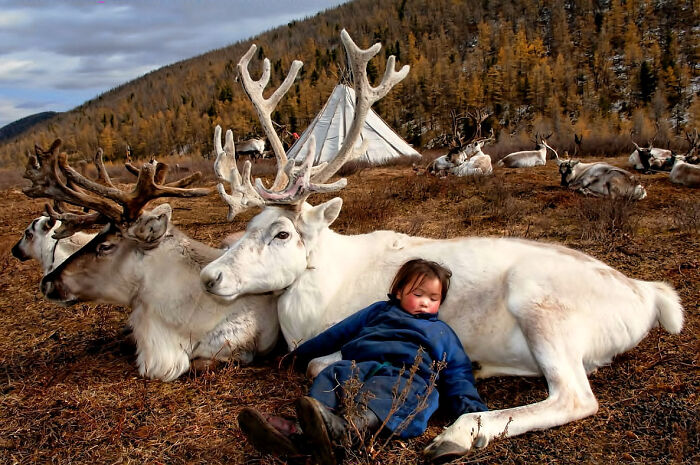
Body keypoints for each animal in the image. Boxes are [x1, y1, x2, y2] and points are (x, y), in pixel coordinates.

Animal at [199, 30, 683, 462]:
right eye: (248, 226)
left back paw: (459, 434)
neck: (319, 294)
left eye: (282, 233)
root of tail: (648, 295)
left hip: (542, 308)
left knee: (575, 397)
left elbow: (320, 363)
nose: (209, 276)